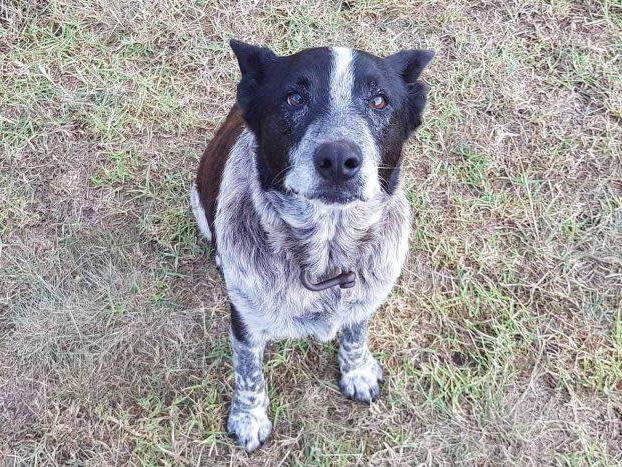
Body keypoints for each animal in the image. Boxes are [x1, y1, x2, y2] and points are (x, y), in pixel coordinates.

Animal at [190, 41, 434, 454]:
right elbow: (248, 373)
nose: (338, 159)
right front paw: (249, 418)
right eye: (294, 98)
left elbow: (355, 335)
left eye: (379, 101)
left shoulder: (365, 298)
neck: (327, 253)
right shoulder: (245, 320)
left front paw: (357, 372)